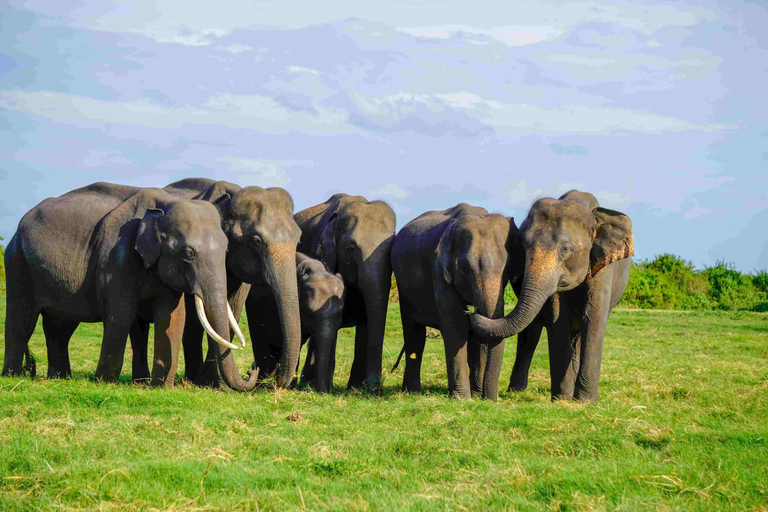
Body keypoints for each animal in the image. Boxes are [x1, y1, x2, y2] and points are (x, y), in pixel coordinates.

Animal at [2, 182, 247, 389]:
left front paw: (161, 389)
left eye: (226, 250)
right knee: (21, 321)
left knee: (59, 327)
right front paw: (104, 383)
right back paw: (13, 377)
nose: (249, 373)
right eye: (188, 253)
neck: (163, 204)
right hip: (18, 262)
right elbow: (121, 315)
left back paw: (60, 378)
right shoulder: (115, 257)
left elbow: (172, 317)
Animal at [390, 203, 519, 400]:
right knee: (415, 335)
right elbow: (456, 327)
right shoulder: (439, 271)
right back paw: (411, 392)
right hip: (403, 289)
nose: (491, 399)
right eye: (464, 267)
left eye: (509, 266)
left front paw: (476, 395)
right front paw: (462, 399)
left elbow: (481, 334)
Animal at [470, 190, 633, 403]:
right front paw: (562, 399)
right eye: (523, 246)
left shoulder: (603, 267)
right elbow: (558, 321)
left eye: (565, 249)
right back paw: (517, 390)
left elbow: (593, 317)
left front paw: (584, 402)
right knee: (531, 332)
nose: (472, 312)